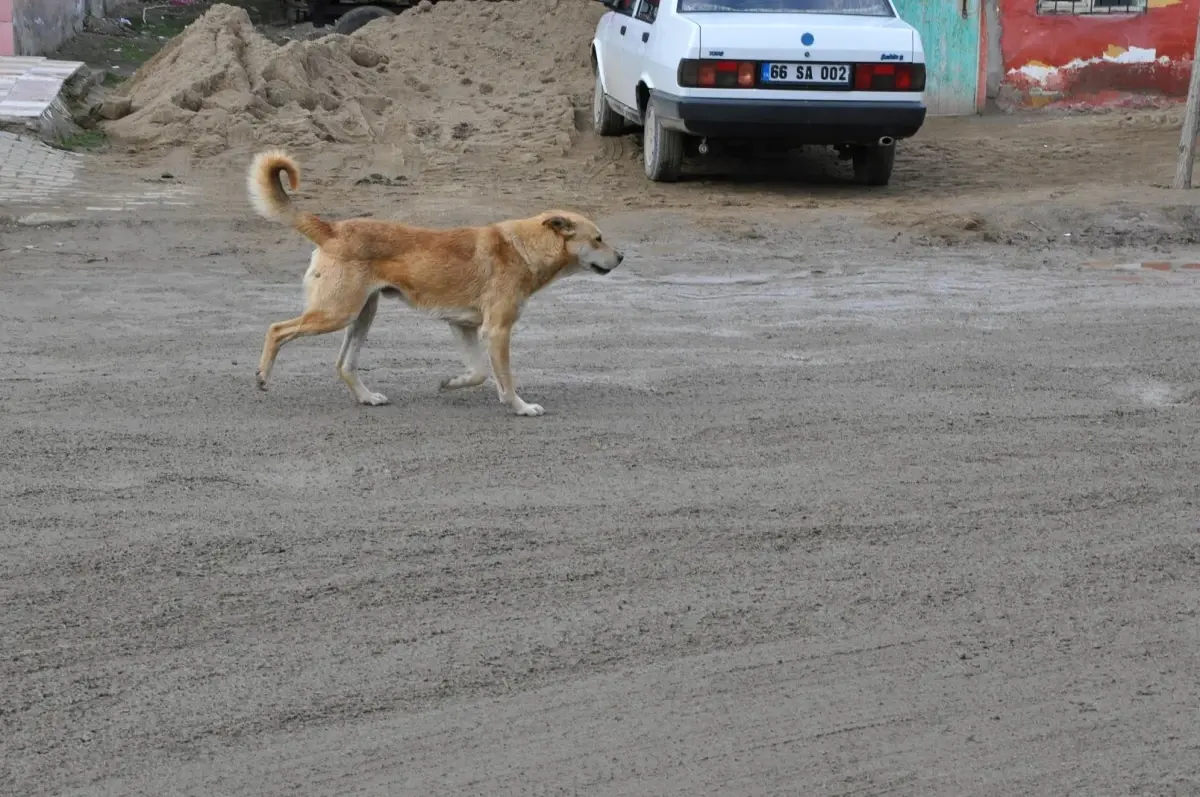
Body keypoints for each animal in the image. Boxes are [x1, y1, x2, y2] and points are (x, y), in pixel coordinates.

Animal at [240, 151, 624, 420]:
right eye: (598, 239)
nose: (621, 256)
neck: (523, 247)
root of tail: (332, 229)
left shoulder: (464, 327)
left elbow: (478, 372)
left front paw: (451, 383)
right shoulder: (497, 331)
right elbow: (505, 378)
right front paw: (520, 407)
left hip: (362, 316)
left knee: (343, 365)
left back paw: (366, 397)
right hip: (336, 313)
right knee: (277, 329)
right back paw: (261, 376)